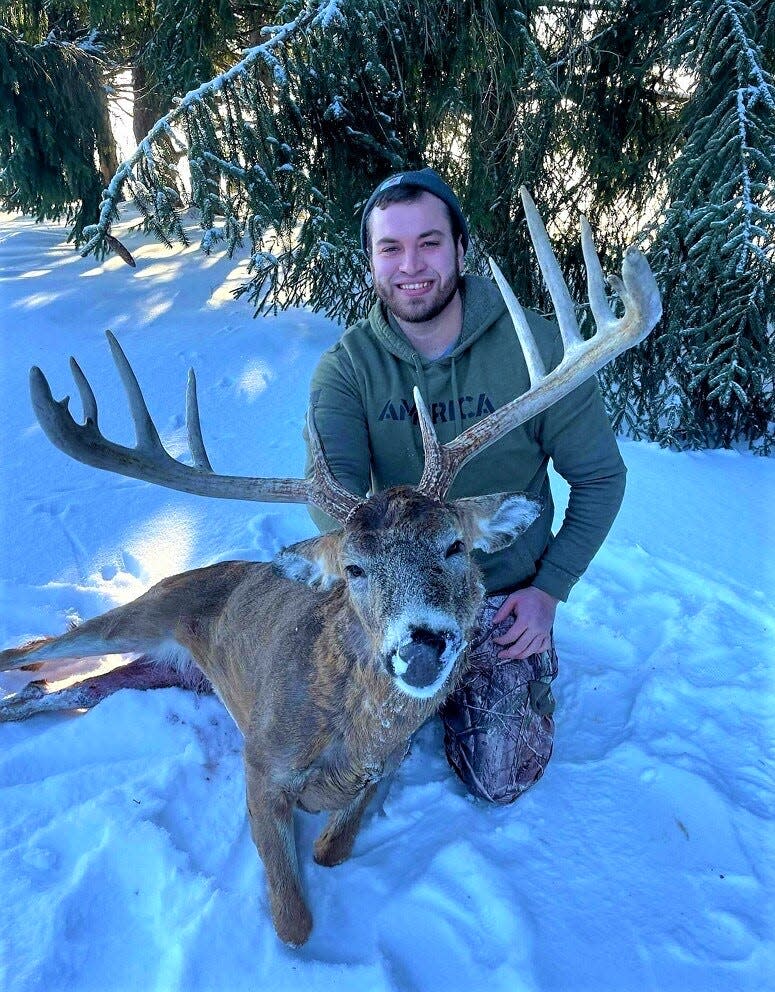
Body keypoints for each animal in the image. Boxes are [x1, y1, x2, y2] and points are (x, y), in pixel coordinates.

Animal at [1, 188, 660, 944]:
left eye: (454, 546)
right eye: (354, 569)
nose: (422, 644)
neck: (350, 736)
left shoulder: (382, 774)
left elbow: (332, 848)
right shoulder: (259, 766)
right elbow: (292, 919)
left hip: (159, 671)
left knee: (65, 689)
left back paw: (24, 700)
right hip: (143, 610)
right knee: (32, 649)